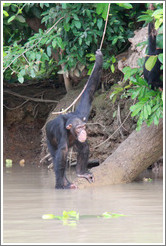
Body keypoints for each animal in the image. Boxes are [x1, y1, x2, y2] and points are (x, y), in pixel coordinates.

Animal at [45, 49, 102, 188]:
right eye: (78, 128)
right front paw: (61, 184)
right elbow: (62, 153)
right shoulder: (61, 130)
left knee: (83, 146)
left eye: (83, 127)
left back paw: (81, 173)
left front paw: (99, 59)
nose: (82, 132)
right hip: (49, 141)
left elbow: (89, 92)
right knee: (57, 157)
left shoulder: (82, 115)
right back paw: (63, 182)